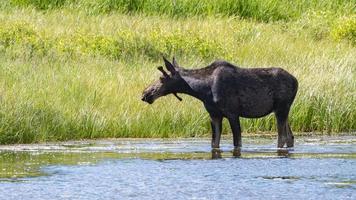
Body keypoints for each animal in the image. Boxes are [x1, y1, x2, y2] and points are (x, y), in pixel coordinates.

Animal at [142, 57, 298, 152]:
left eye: (162, 78)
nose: (145, 93)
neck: (202, 91)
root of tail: (296, 82)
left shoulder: (232, 113)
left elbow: (237, 142)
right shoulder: (214, 115)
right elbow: (214, 143)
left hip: (282, 108)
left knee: (282, 137)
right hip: (282, 110)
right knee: (290, 136)